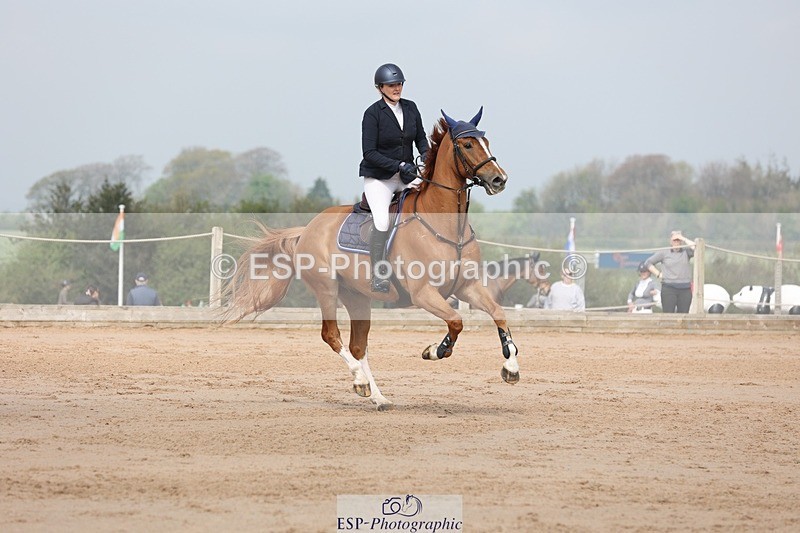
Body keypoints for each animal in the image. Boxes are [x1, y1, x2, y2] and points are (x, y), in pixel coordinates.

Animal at [226, 108, 518, 410]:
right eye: (468, 145)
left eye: (487, 142)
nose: (499, 179)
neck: (448, 228)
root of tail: (307, 229)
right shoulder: (424, 293)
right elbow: (457, 322)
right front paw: (434, 351)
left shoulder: (466, 287)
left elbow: (498, 313)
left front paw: (511, 367)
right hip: (327, 289)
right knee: (332, 336)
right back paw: (360, 382)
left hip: (357, 297)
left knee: (358, 346)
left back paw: (378, 397)